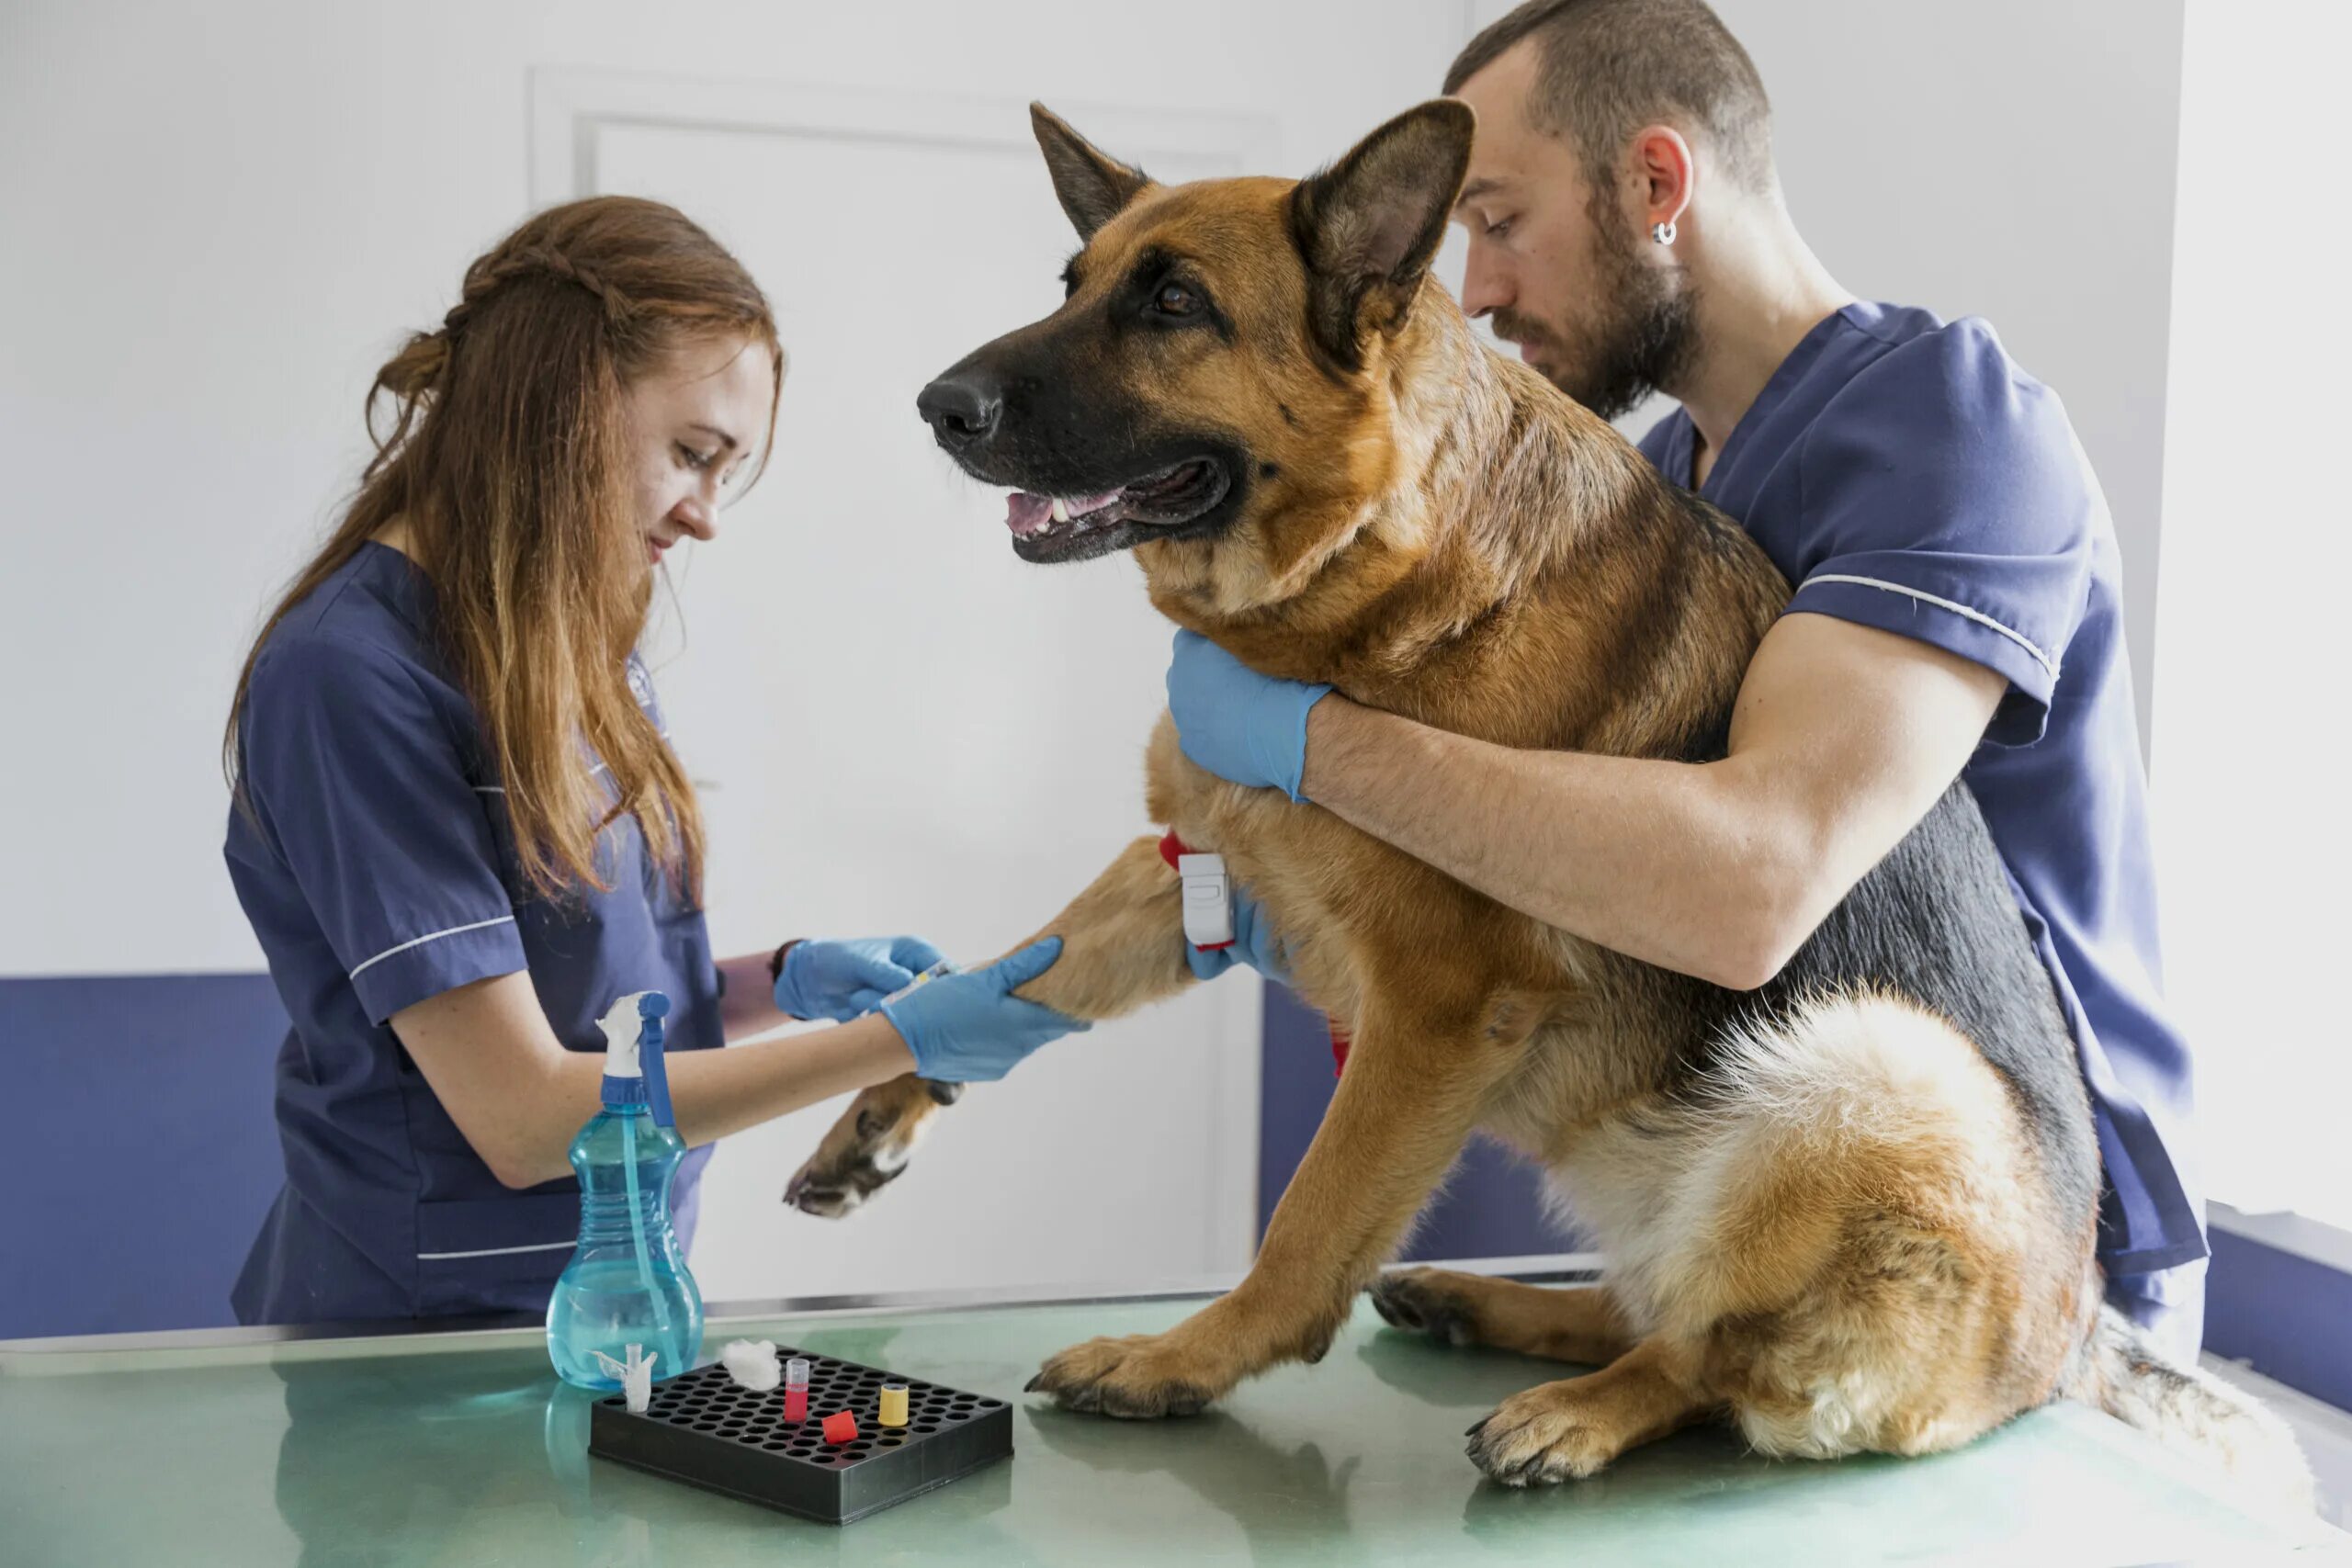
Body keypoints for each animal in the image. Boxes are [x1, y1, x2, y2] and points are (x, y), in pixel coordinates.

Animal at [780, 104, 2304, 1504]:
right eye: (1074, 281)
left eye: (1173, 303)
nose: (936, 405)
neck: (1376, 573)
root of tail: (2072, 1340)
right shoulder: (1202, 857)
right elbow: (1016, 967)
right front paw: (888, 1076)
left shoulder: (1436, 1006)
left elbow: (1308, 1220)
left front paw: (1183, 1360)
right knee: (1661, 1296)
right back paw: (1498, 1305)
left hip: (1866, 1064)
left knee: (1708, 1353)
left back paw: (1582, 1406)